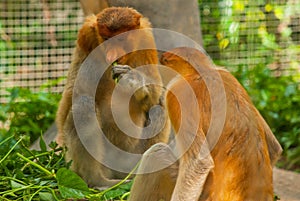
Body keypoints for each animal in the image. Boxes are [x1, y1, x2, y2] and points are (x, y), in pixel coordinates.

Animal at [55, 6, 170, 188]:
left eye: (121, 39)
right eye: (107, 39)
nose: (112, 55)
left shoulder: (146, 38)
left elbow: (155, 90)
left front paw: (132, 79)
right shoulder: (85, 36)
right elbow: (72, 92)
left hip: (131, 155)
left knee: (160, 102)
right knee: (83, 104)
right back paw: (98, 181)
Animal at [128, 47, 282, 201]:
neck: (202, 72)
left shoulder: (179, 93)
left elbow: (198, 163)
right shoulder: (227, 73)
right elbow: (274, 147)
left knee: (157, 154)